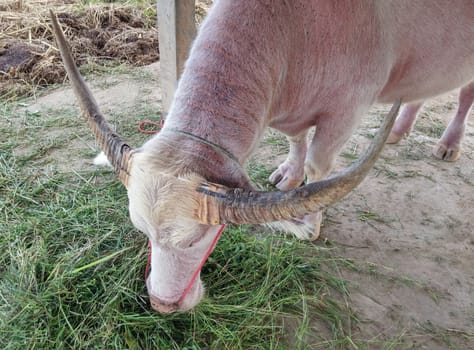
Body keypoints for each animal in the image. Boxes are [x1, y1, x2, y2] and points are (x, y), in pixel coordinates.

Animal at [50, 0, 472, 314]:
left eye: (196, 239)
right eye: (141, 230)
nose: (163, 305)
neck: (293, 31)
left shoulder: (345, 114)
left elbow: (319, 164)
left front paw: (309, 223)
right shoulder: (290, 110)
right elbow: (297, 141)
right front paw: (289, 174)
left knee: (465, 94)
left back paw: (449, 144)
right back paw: (400, 130)